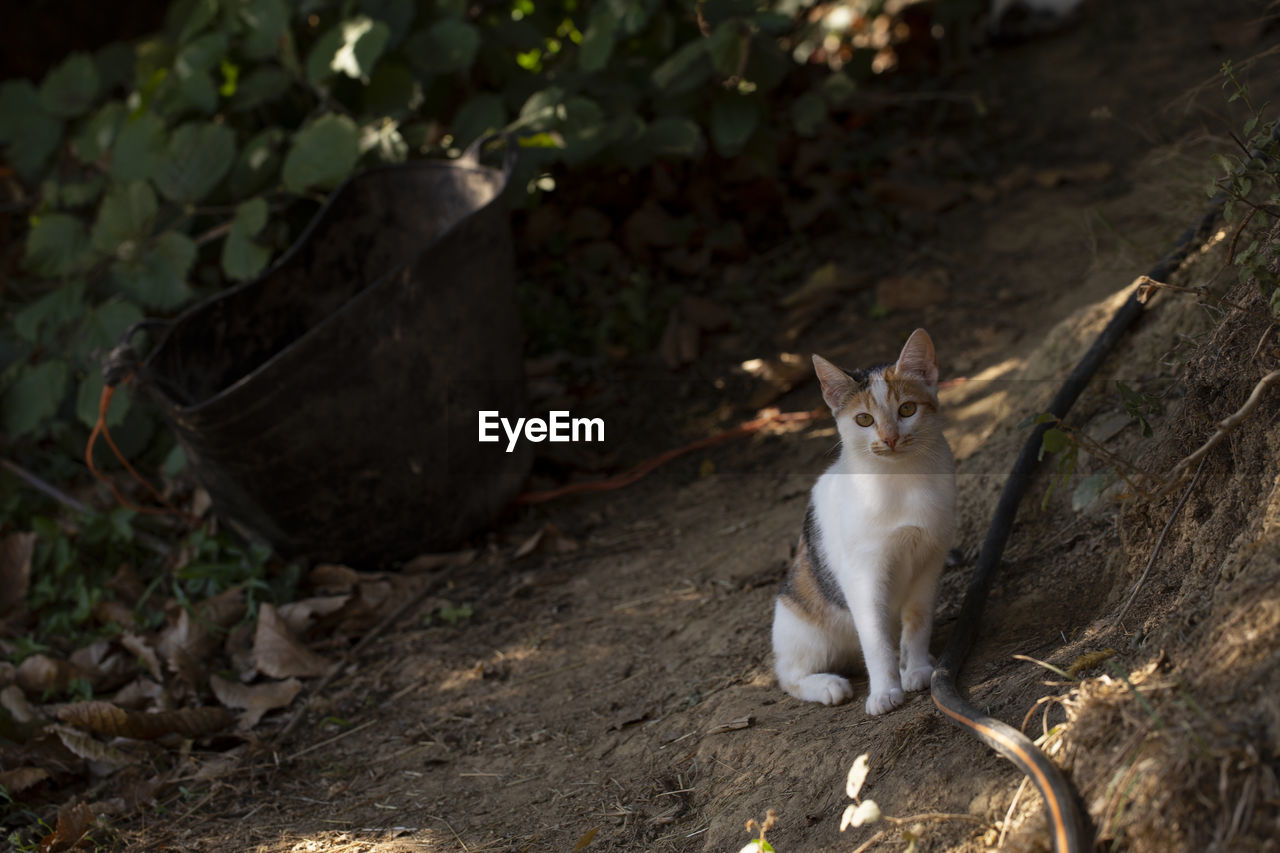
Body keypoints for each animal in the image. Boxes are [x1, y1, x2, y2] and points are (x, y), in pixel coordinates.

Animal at [762, 327, 957, 712]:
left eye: (907, 409)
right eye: (863, 419)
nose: (890, 439)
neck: (901, 480)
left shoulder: (929, 561)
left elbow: (918, 621)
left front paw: (917, 667)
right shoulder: (863, 575)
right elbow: (875, 638)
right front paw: (884, 692)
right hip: (801, 624)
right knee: (787, 675)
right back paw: (826, 685)